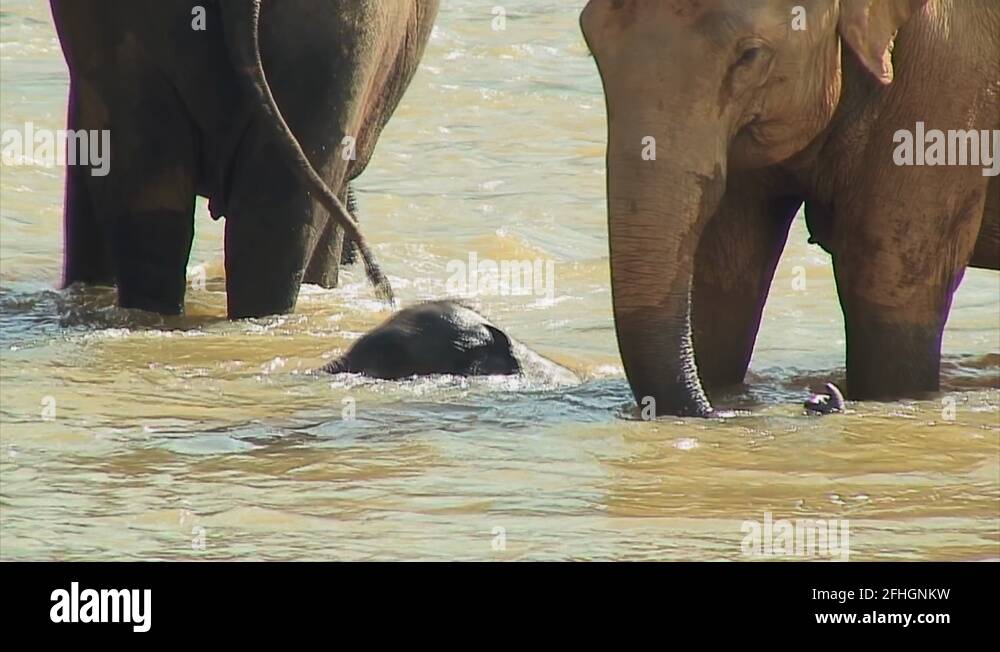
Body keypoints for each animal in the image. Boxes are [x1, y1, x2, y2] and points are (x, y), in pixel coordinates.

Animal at [580, 0, 1000, 416]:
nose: (822, 397)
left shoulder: (945, 93)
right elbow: (724, 290)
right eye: (591, 41)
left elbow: (890, 291)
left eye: (750, 55)